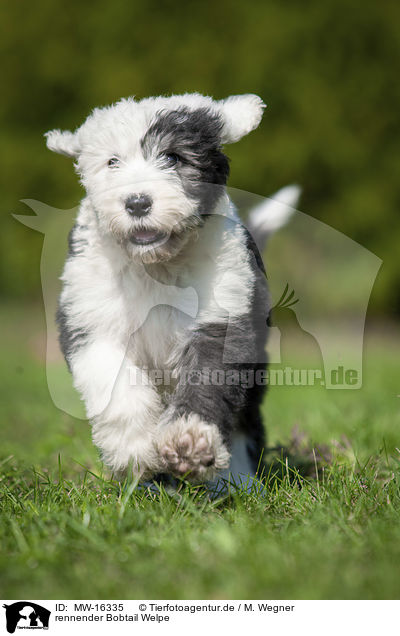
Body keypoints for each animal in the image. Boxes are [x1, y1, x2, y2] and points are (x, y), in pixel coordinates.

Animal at [46, 90, 296, 486]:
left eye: (173, 158)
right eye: (112, 162)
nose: (137, 202)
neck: (156, 266)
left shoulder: (221, 315)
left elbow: (209, 378)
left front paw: (189, 441)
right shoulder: (93, 317)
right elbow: (115, 384)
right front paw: (135, 450)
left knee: (247, 423)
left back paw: (236, 481)